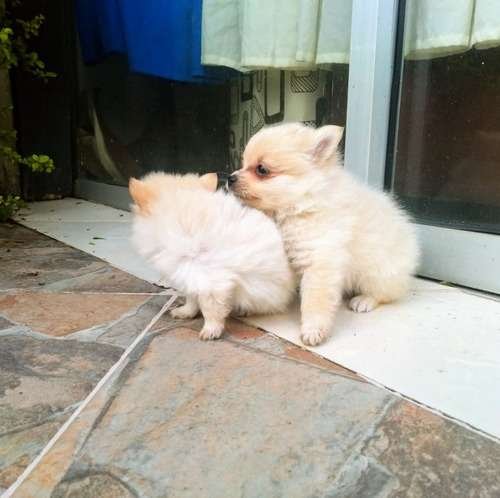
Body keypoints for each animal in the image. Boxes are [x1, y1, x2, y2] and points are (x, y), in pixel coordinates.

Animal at [129, 171, 296, 340]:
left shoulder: (211, 279)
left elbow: (210, 307)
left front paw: (211, 330)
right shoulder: (190, 275)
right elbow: (192, 297)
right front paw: (186, 312)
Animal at [229, 123, 419, 346]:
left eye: (262, 169)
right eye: (243, 163)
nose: (230, 178)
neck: (299, 206)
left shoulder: (320, 261)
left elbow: (315, 301)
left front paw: (313, 330)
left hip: (378, 273)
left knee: (385, 293)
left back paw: (364, 300)